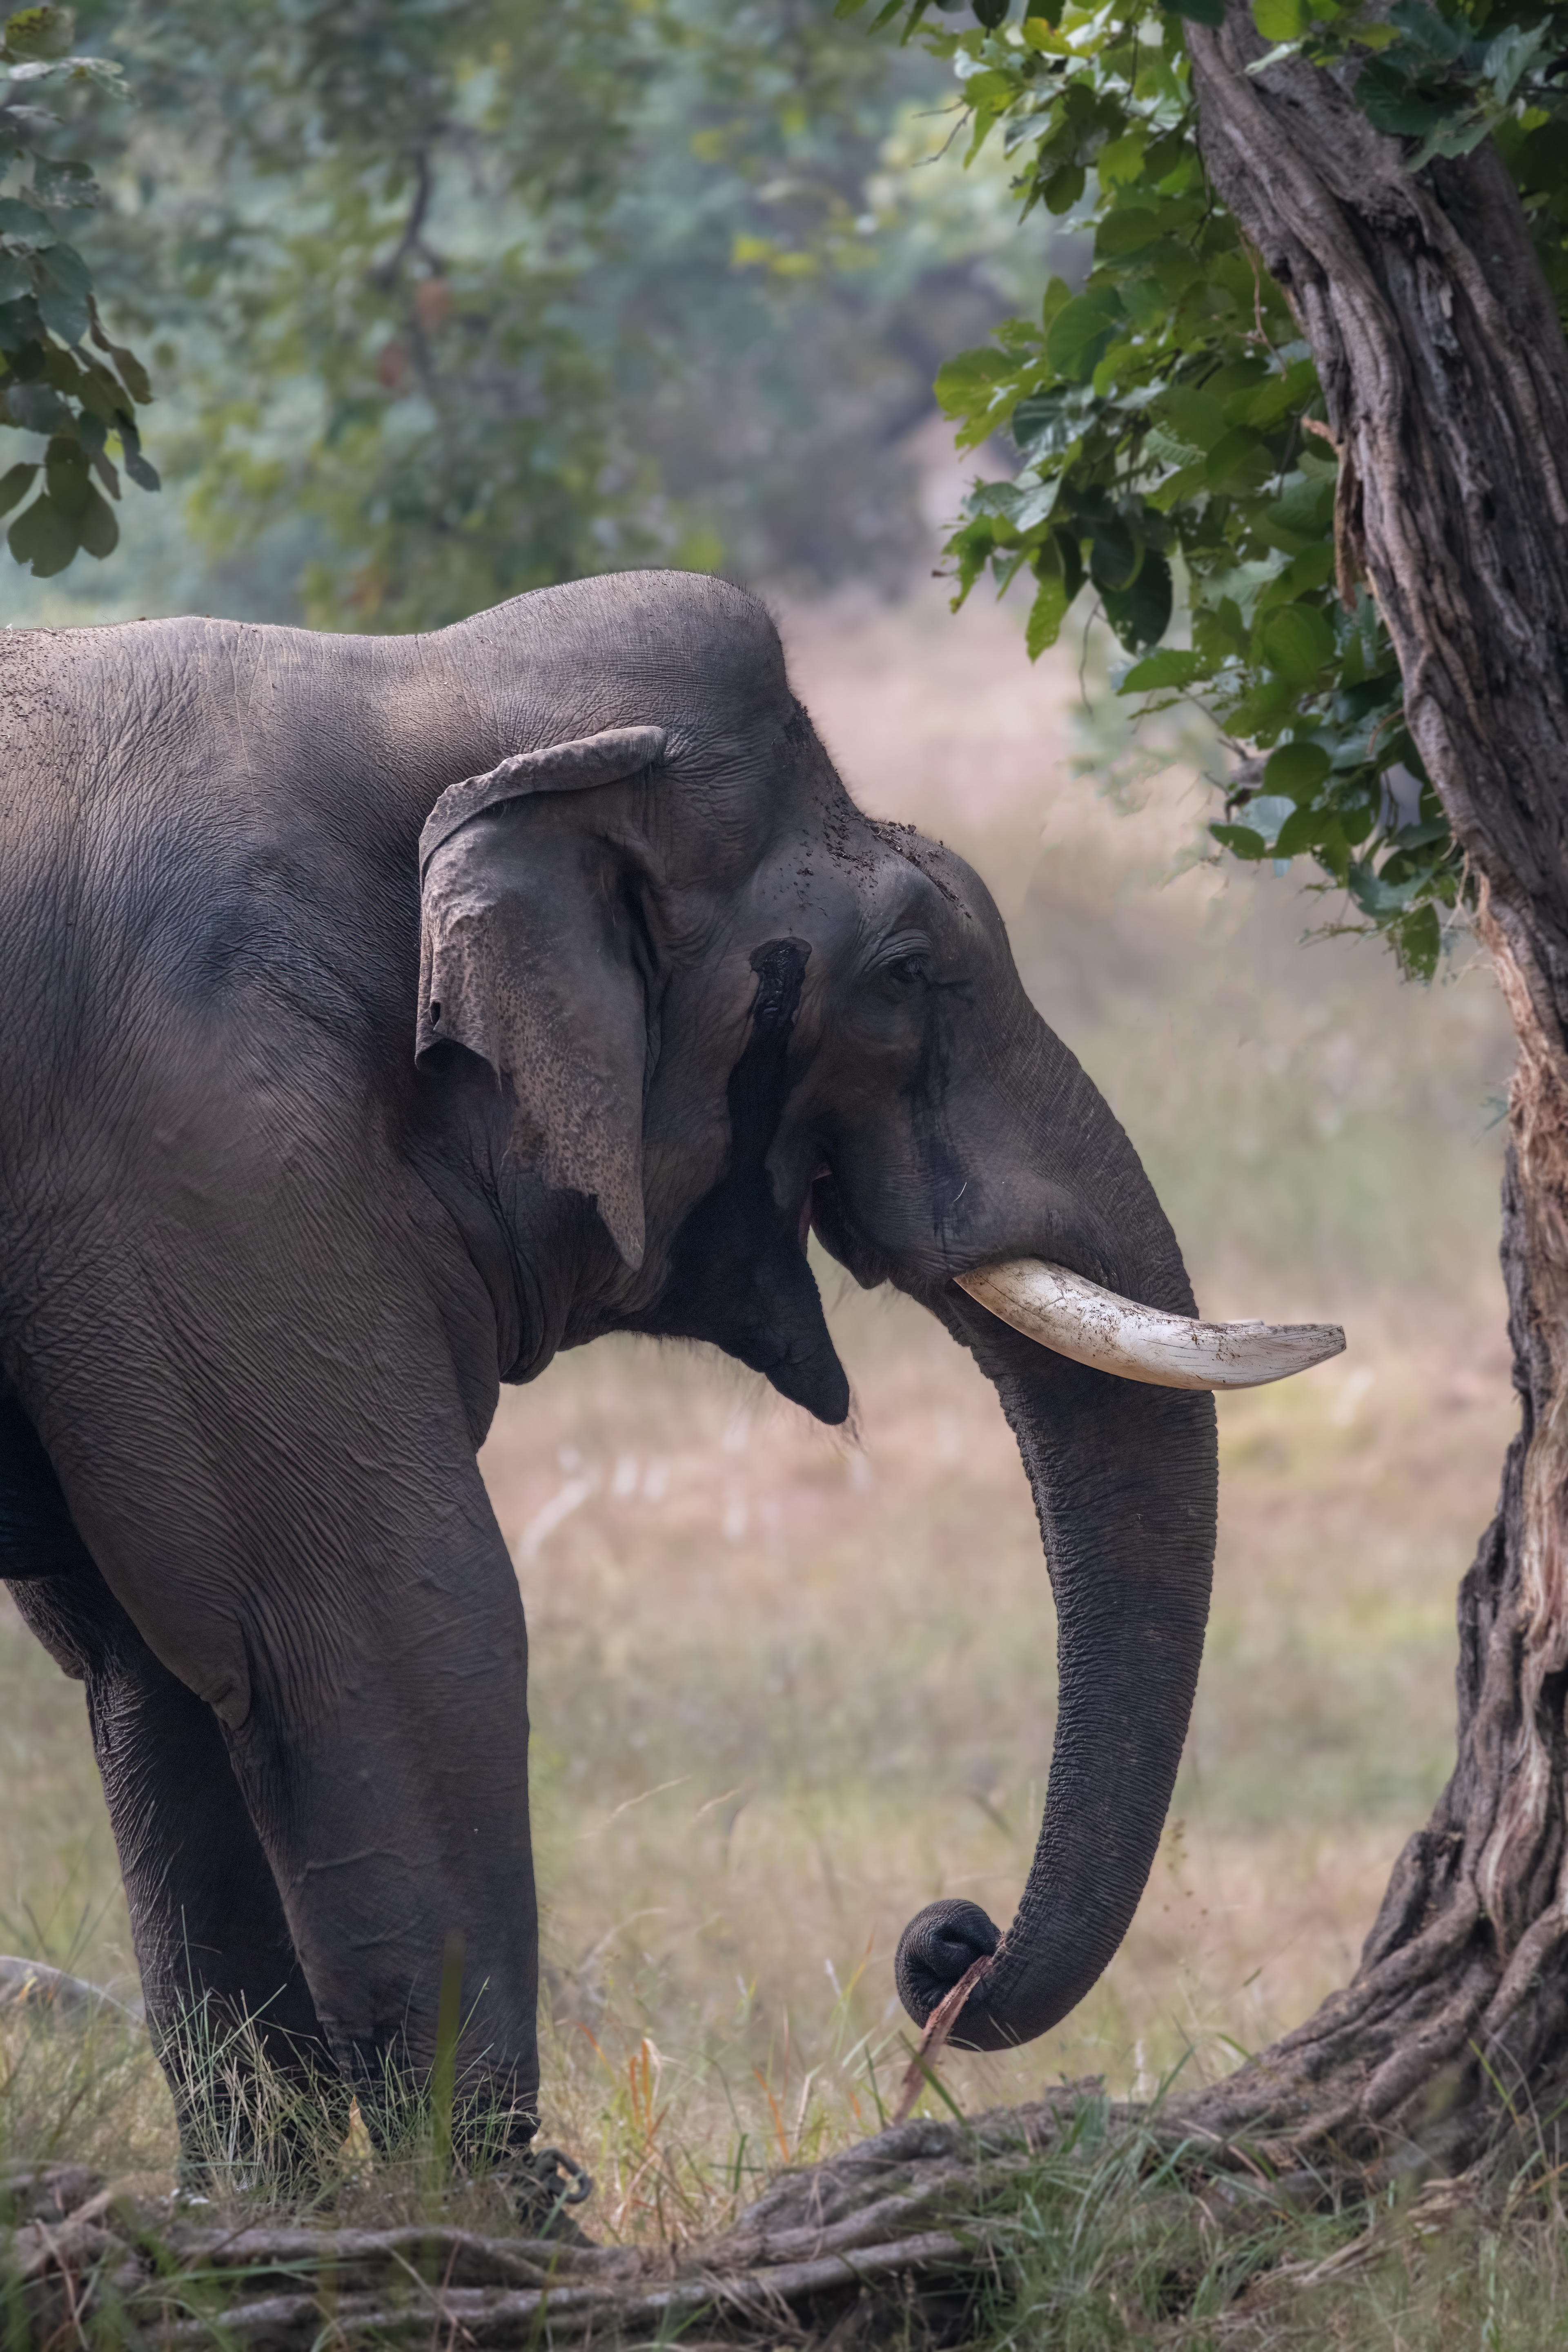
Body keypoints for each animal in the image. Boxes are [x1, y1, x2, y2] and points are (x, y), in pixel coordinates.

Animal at [0, 569, 1340, 2185]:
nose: (946, 1942)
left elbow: (163, 1664)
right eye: (906, 975)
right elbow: (389, 1620)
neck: (418, 690)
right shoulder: (199, 1133)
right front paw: (494, 2219)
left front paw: (290, 2215)